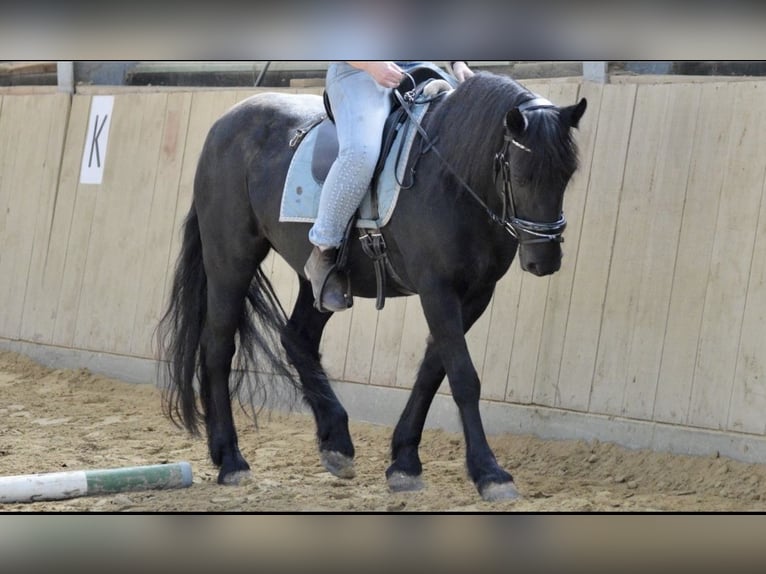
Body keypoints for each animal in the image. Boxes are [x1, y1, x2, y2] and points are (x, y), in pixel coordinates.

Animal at [157, 69, 587, 502]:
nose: (544, 261)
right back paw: (232, 460)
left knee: (297, 338)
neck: (451, 176)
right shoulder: (438, 290)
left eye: (567, 175)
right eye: (520, 175)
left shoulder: (475, 295)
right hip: (230, 259)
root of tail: (225, 124)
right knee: (218, 348)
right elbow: (463, 377)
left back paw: (335, 443)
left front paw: (405, 462)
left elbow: (433, 370)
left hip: (317, 280)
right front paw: (490, 473)